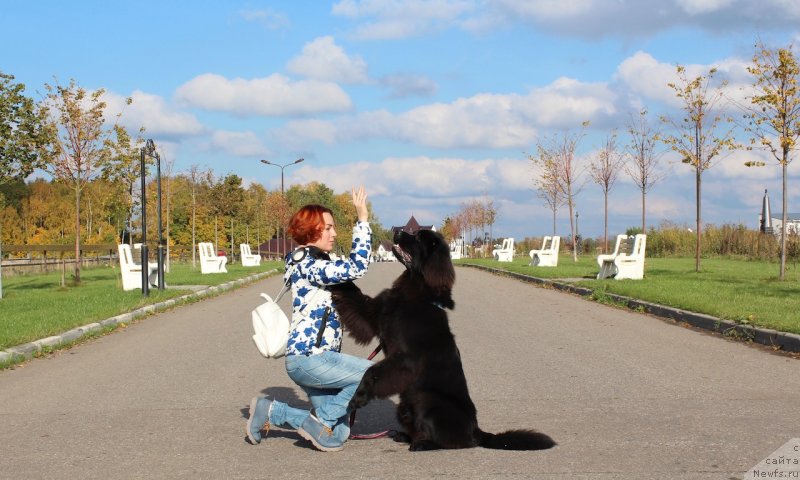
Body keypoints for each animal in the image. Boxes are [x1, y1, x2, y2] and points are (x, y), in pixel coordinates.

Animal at [328, 231, 552, 452]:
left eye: (418, 238)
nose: (396, 231)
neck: (414, 296)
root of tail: (477, 431)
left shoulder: (405, 359)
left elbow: (372, 371)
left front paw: (358, 397)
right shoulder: (371, 314)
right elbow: (351, 292)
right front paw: (322, 257)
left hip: (428, 401)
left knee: (451, 442)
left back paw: (422, 444)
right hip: (404, 405)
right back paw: (404, 436)